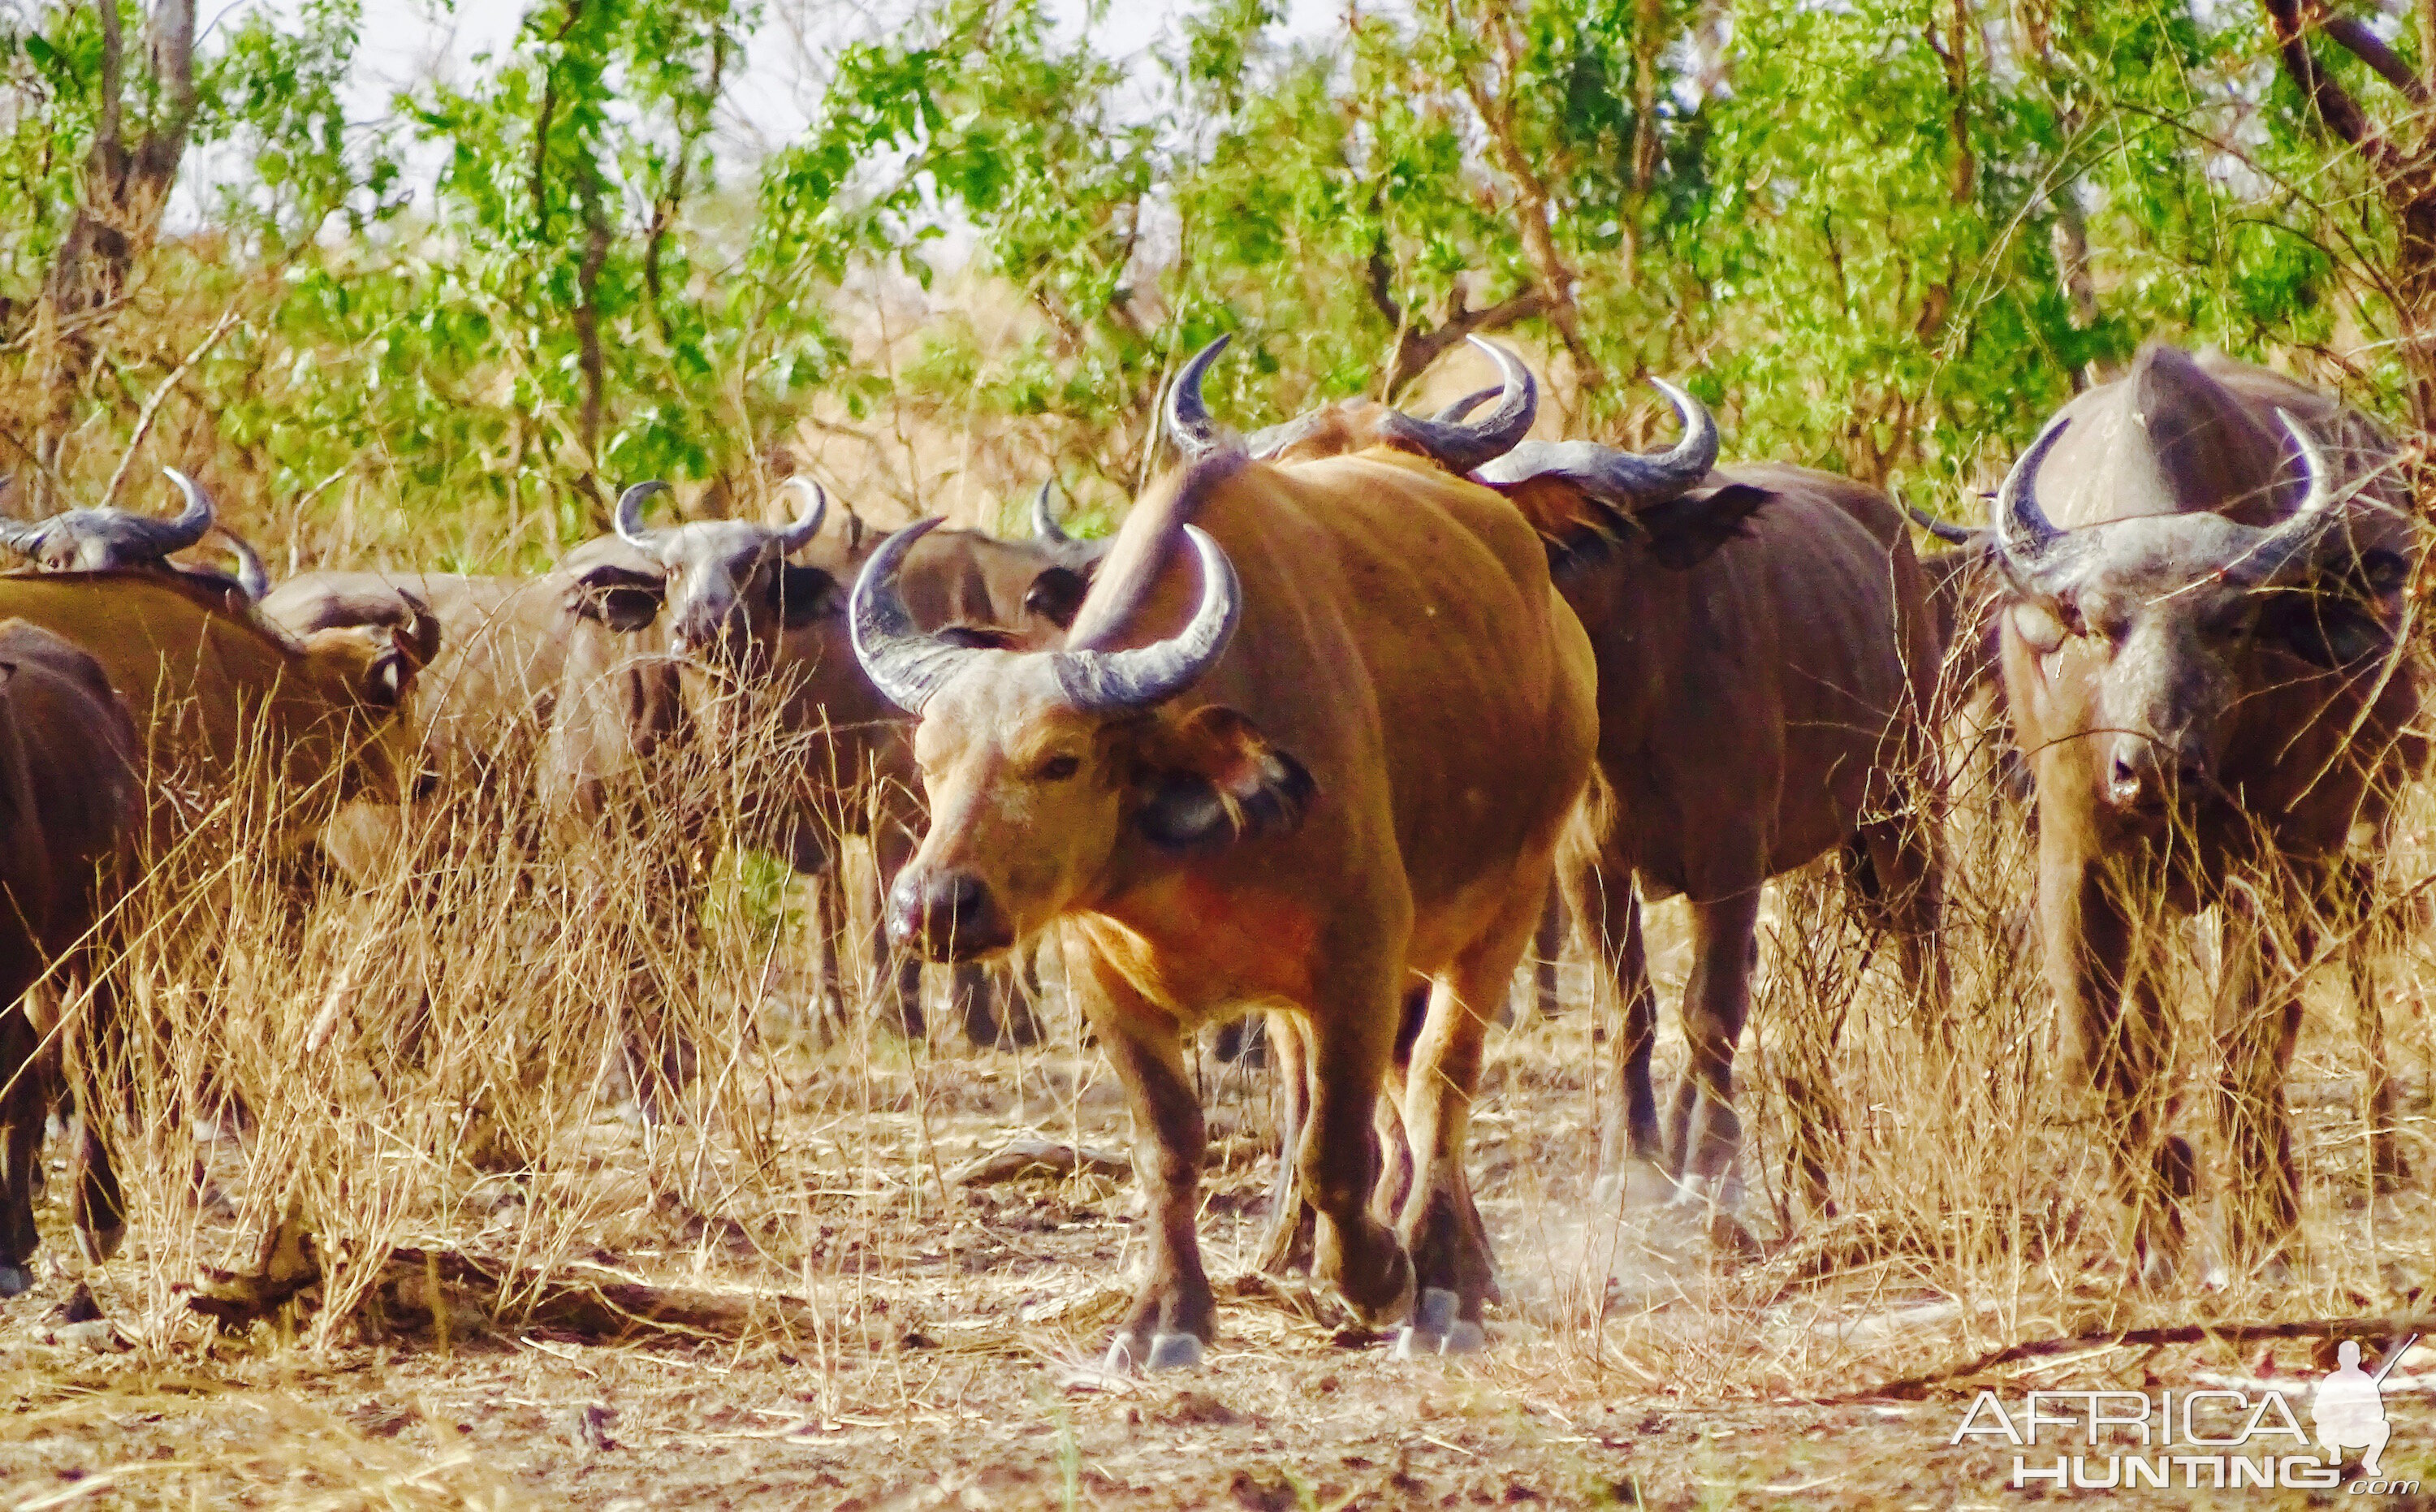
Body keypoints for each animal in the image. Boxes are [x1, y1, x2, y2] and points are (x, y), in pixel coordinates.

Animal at [857, 357, 1598, 1363]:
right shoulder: (1106, 981)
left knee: (1442, 1079)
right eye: (931, 759)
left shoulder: (1359, 957)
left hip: (1508, 900)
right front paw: (1165, 1317)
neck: (1188, 861)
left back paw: (1443, 1278)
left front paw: (1375, 1275)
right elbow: (1169, 1145)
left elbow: (1334, 1146)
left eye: (1060, 759)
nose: (933, 906)